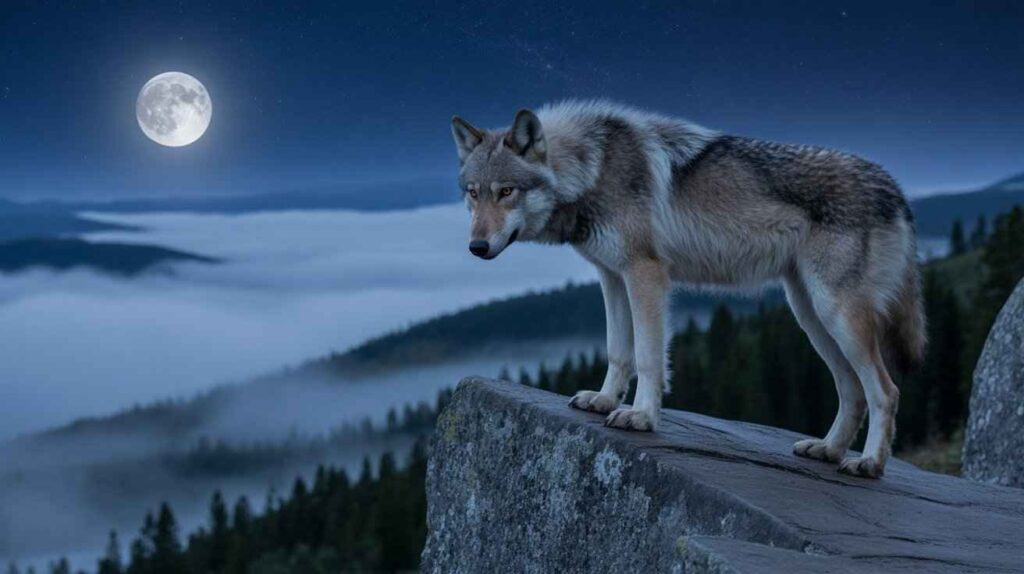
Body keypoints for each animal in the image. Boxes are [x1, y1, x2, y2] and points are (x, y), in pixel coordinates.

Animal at [449, 101, 924, 478]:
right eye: (473, 194)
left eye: (506, 192)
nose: (475, 247)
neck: (592, 168)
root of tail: (895, 188)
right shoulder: (612, 277)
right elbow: (618, 351)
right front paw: (603, 400)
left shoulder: (646, 275)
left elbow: (647, 357)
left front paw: (641, 417)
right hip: (810, 317)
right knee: (852, 392)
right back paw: (827, 449)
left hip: (835, 314)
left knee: (886, 391)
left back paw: (869, 464)